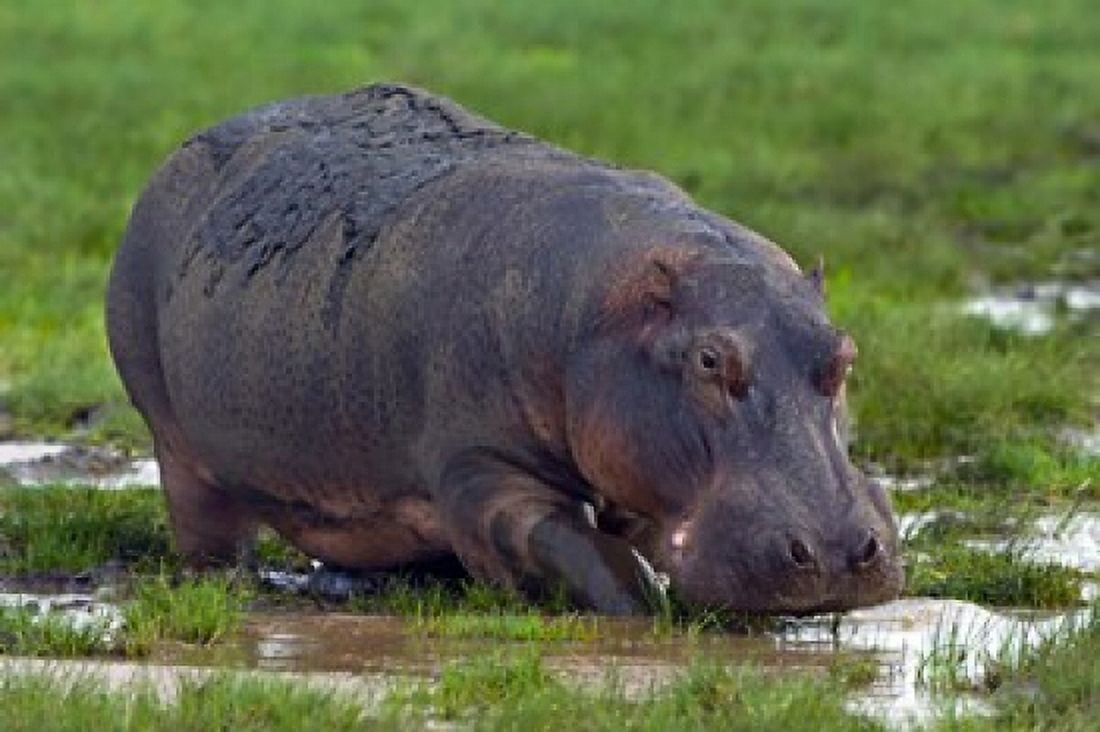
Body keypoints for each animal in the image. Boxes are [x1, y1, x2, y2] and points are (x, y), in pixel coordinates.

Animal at [106, 83, 903, 615]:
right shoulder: (481, 472)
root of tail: (181, 150)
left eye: (844, 354)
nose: (837, 552)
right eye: (710, 360)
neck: (598, 314)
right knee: (207, 522)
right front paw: (647, 601)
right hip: (175, 438)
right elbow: (577, 548)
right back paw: (228, 583)